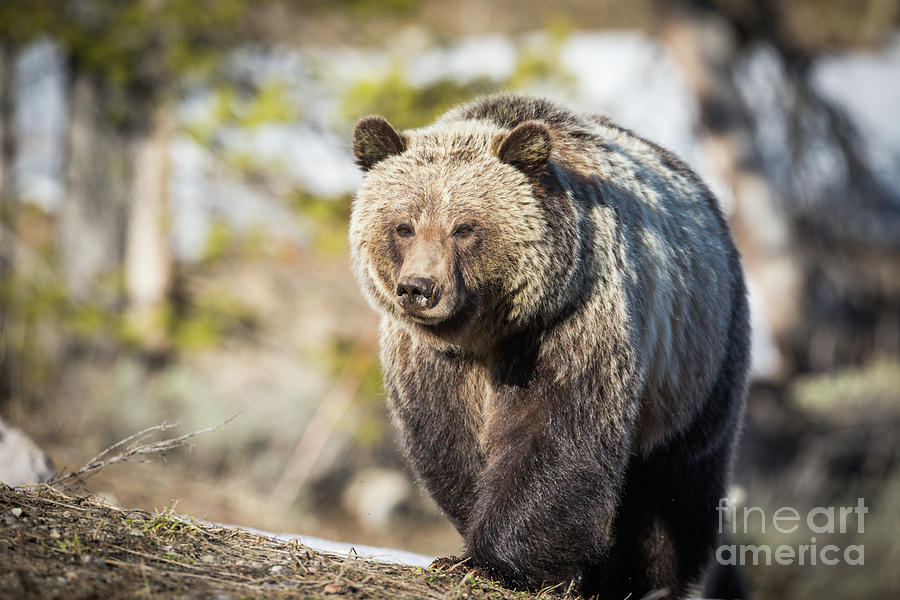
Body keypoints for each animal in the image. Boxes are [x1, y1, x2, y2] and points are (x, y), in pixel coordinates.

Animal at [348, 95, 748, 600]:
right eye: (403, 226)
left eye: (464, 227)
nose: (419, 289)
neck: (488, 332)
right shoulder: (431, 361)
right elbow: (450, 443)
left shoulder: (570, 324)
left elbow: (556, 432)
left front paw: (500, 562)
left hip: (699, 357)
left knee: (676, 482)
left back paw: (644, 580)